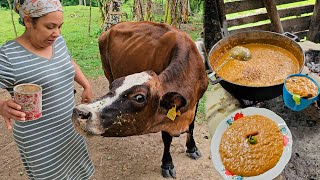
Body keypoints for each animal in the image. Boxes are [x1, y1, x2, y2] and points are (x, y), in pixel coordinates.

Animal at [71, 20, 209, 177]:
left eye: (139, 97)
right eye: (114, 86)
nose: (80, 111)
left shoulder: (196, 101)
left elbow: (191, 126)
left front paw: (192, 148)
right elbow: (167, 138)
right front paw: (167, 164)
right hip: (107, 70)